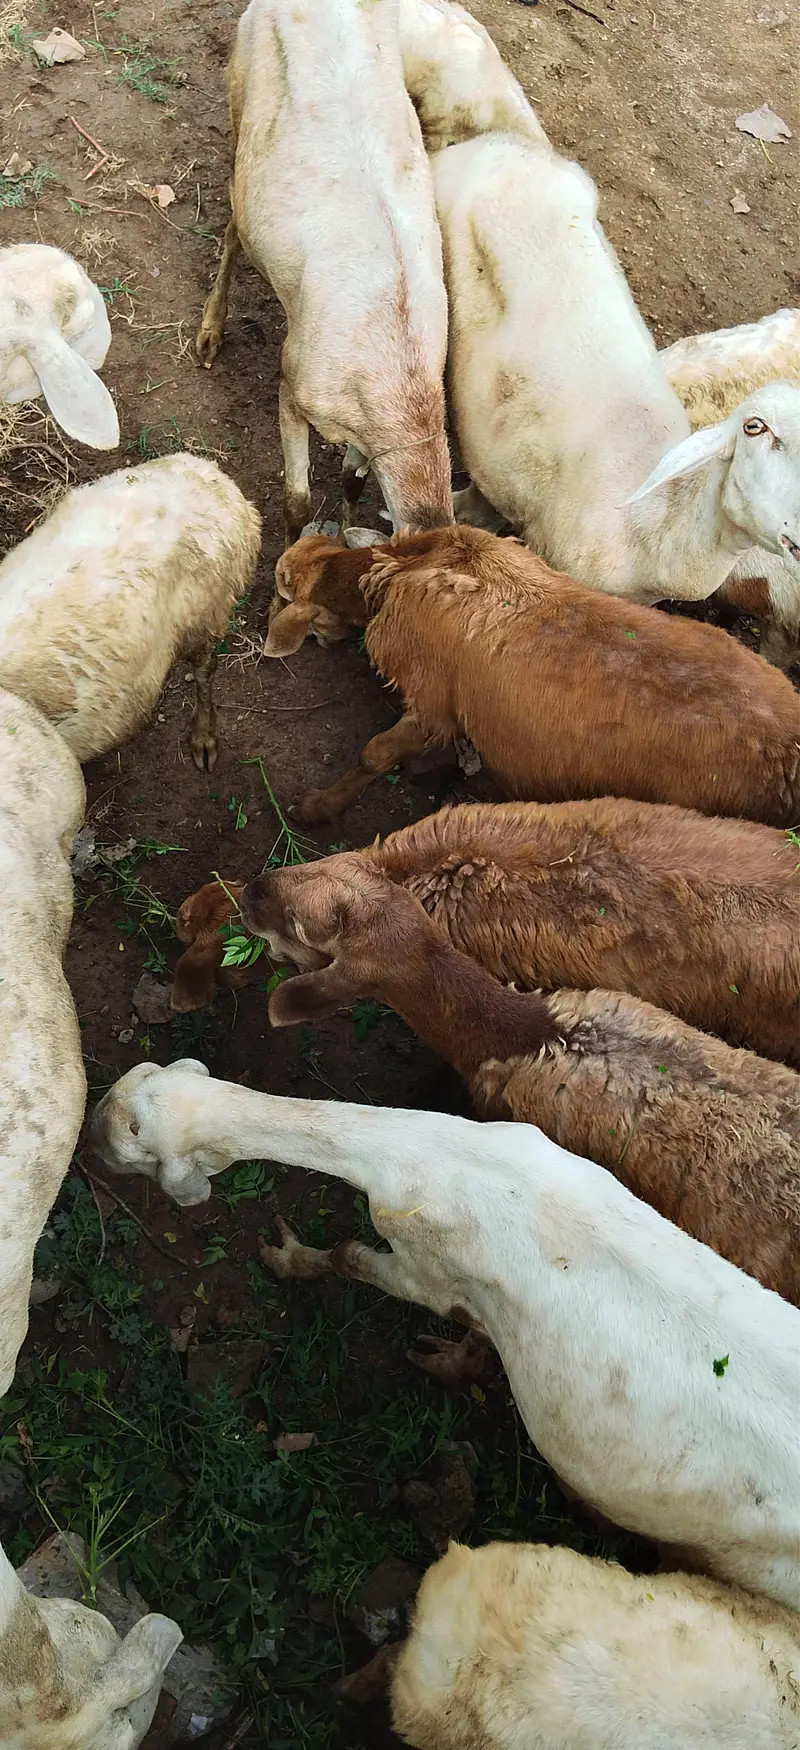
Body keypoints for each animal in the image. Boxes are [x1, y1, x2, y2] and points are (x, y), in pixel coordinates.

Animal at [89, 1058, 800, 1606]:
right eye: (135, 1081)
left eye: (128, 1144)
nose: (90, 1127)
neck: (441, 1153)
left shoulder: (425, 1270)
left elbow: (351, 1256)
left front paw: (293, 1259)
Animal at [195, 0, 452, 541]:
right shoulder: (294, 385)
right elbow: (297, 501)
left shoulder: (366, 433)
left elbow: (353, 481)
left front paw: (349, 520)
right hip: (239, 93)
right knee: (233, 224)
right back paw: (209, 333)